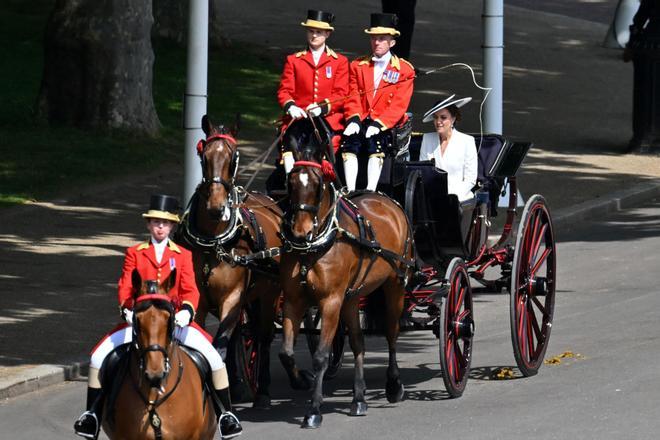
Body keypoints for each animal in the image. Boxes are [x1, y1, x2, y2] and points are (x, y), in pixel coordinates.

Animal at [178, 114, 284, 410]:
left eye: (234, 156)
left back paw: (263, 390)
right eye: (203, 155)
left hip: (270, 293)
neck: (214, 242)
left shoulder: (233, 296)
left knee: (263, 335)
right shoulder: (201, 300)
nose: (216, 207)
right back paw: (239, 385)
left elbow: (219, 344)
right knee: (243, 333)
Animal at [280, 118, 418, 428]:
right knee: (358, 342)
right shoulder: (295, 300)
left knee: (392, 333)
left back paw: (394, 385)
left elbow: (320, 355)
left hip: (395, 285)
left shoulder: (330, 301)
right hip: (353, 297)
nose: (300, 231)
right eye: (291, 181)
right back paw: (358, 398)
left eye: (317, 183)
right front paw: (301, 380)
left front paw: (314, 409)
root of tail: (387, 199)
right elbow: (287, 352)